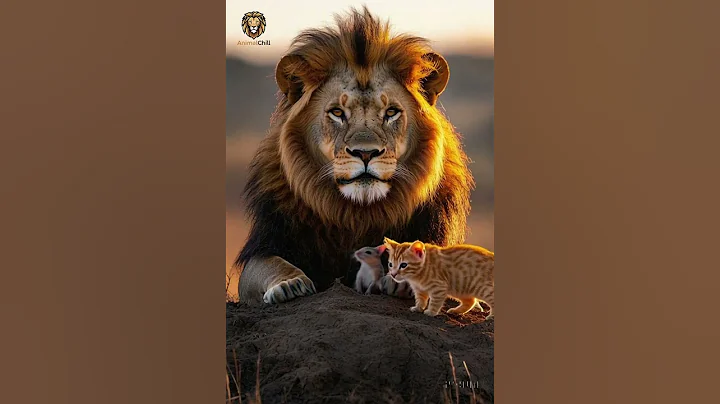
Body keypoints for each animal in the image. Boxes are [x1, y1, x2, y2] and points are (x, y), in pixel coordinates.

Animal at [235, 7, 475, 304]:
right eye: (337, 112)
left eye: (391, 112)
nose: (365, 153)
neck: (357, 213)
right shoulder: (269, 243)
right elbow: (270, 265)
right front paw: (290, 284)